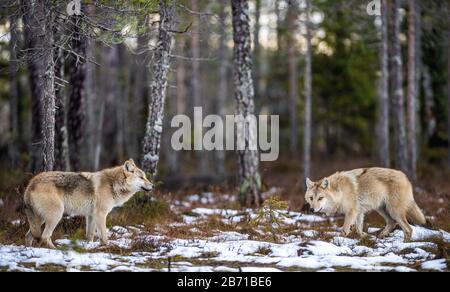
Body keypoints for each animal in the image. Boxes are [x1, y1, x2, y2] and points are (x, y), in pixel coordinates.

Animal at [23, 160, 153, 249]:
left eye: (145, 177)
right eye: (141, 177)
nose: (153, 185)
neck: (113, 184)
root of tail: (31, 183)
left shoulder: (91, 216)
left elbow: (90, 236)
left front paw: (88, 248)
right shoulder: (100, 214)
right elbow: (104, 235)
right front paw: (108, 247)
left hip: (40, 219)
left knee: (29, 235)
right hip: (56, 215)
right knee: (44, 237)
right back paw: (56, 249)